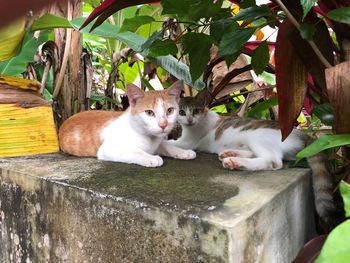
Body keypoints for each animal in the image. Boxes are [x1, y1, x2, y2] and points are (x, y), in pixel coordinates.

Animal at [58, 80, 196, 167]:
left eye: (170, 110)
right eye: (149, 112)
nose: (163, 124)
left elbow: (167, 146)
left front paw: (183, 152)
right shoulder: (108, 149)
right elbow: (135, 151)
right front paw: (151, 158)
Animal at [171, 96, 338, 227]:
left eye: (195, 111)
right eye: (181, 112)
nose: (189, 120)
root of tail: (304, 135)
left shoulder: (187, 141)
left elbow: (170, 143)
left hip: (256, 137)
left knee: (273, 161)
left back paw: (234, 161)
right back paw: (229, 154)